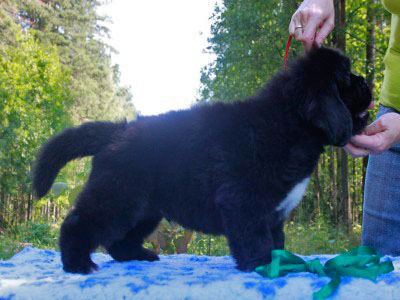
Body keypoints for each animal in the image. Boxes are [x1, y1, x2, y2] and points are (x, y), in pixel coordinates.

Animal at [33, 45, 372, 274]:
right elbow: (255, 239)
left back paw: (137, 256)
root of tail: (119, 129)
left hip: (146, 208)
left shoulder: (274, 212)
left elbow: (277, 240)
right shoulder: (244, 203)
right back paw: (77, 264)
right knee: (77, 224)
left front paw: (281, 263)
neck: (288, 122)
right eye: (346, 77)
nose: (367, 81)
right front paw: (262, 265)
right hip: (117, 197)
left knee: (119, 241)